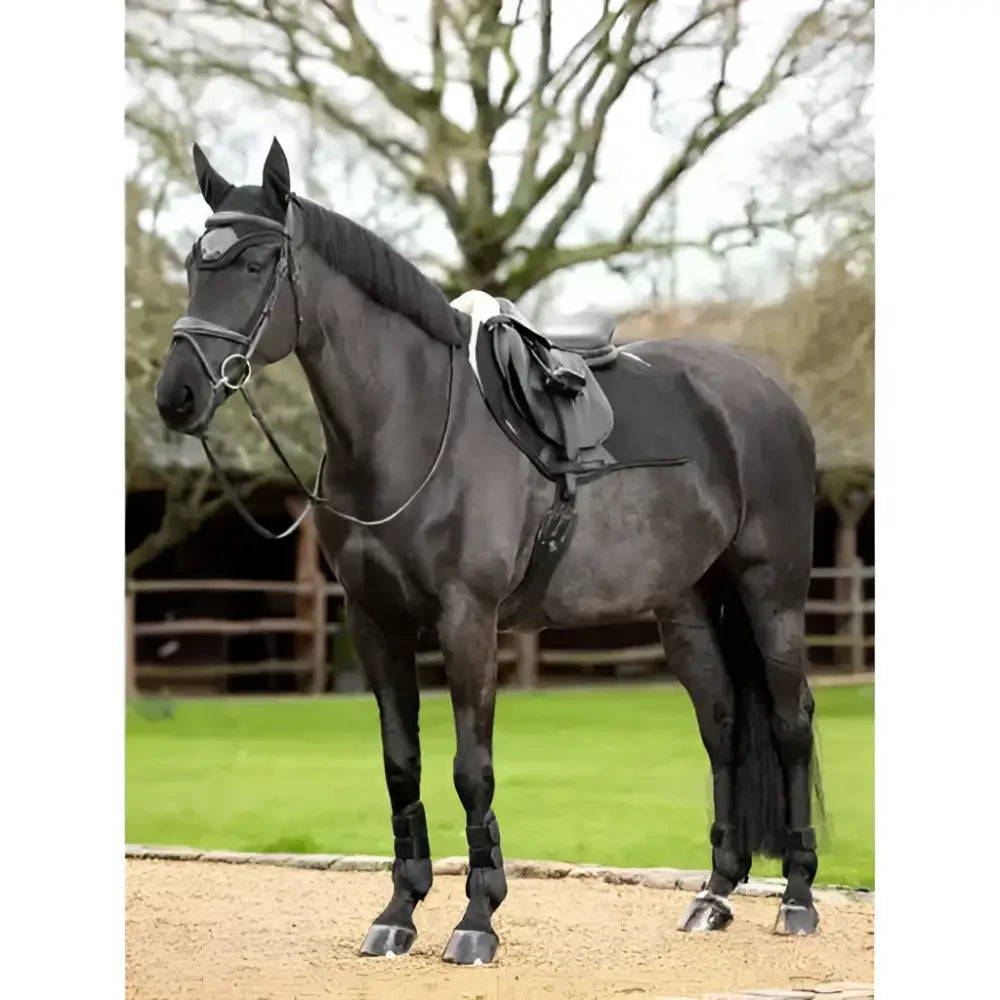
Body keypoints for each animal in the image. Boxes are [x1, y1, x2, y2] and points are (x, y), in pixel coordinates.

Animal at [153, 137, 824, 965]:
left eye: (254, 263)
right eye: (194, 262)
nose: (177, 397)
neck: (409, 429)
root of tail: (767, 395)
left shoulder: (467, 622)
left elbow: (472, 770)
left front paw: (477, 918)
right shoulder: (375, 622)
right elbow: (400, 763)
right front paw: (399, 911)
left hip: (771, 593)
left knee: (791, 724)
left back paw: (797, 898)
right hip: (687, 607)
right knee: (724, 724)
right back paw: (715, 895)